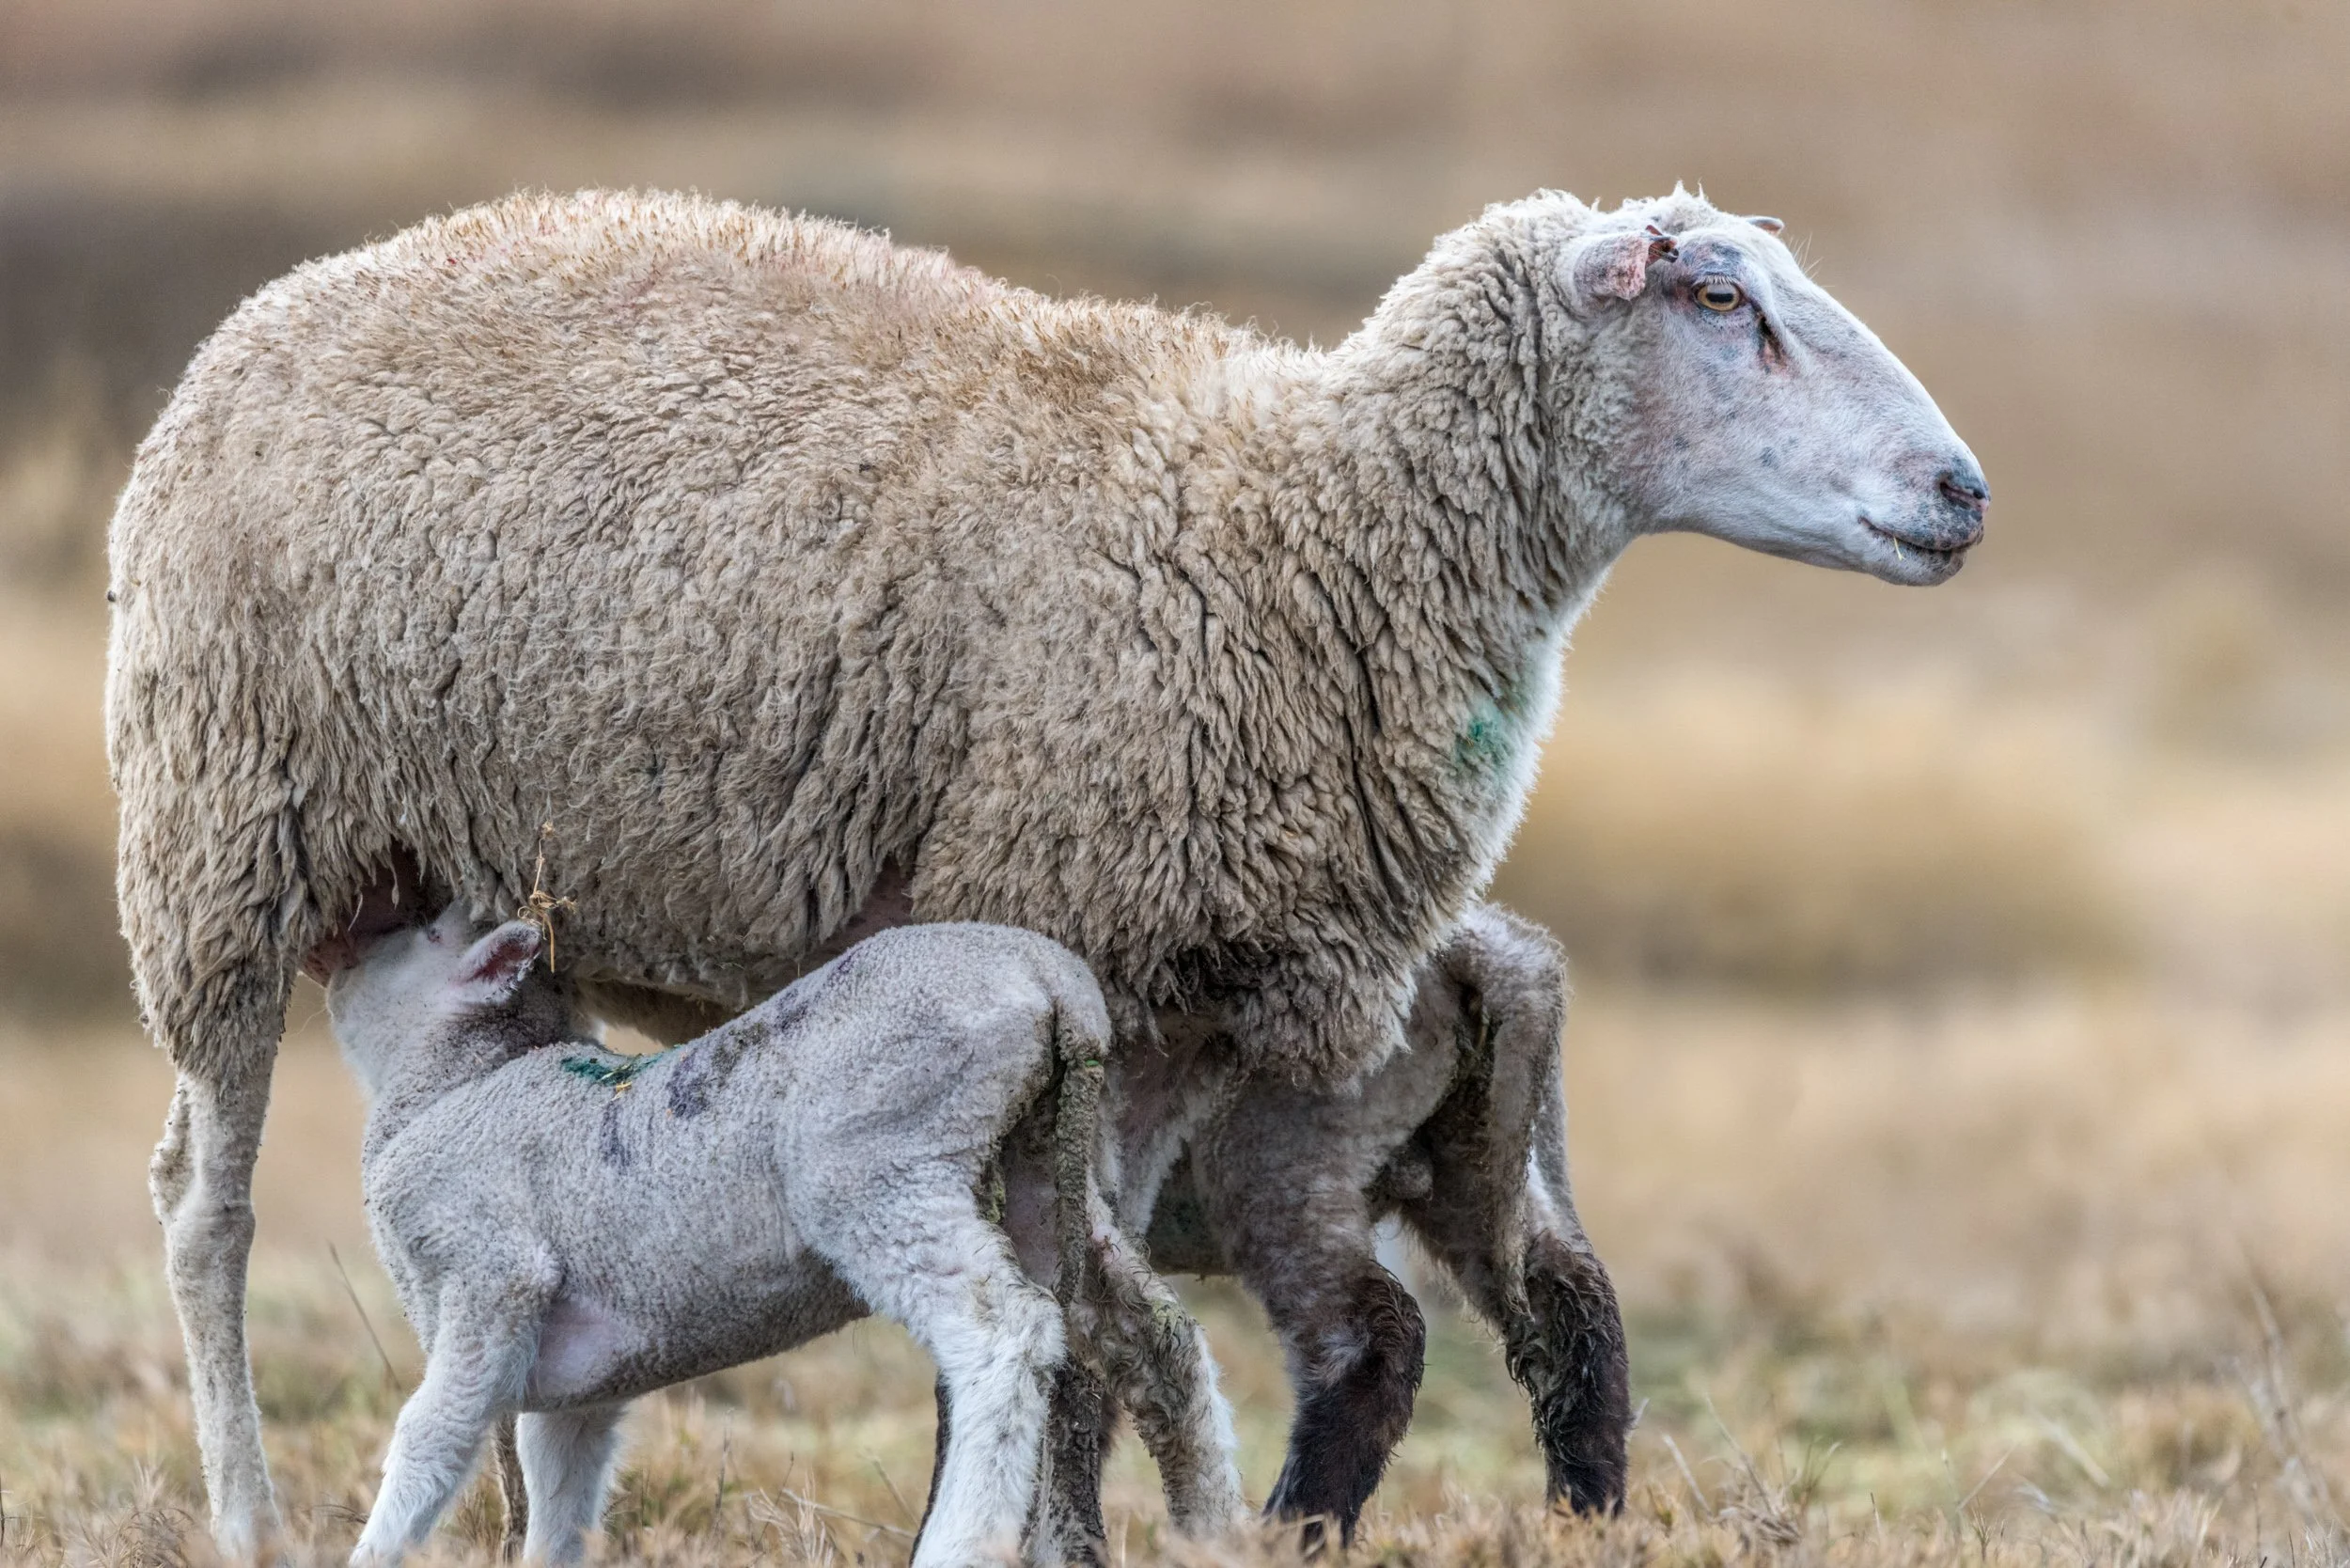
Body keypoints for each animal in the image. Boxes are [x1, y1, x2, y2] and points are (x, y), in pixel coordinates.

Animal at [323, 909, 1243, 1566]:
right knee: (1158, 1342)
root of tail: (1052, 981)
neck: (449, 1086)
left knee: (1003, 1335)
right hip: (1052, 1168)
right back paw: (1217, 1534)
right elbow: (560, 1492)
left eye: (427, 933)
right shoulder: (577, 1381)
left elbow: (431, 1437)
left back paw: (959, 1544)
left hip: (881, 1163)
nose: (346, 937)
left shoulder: (490, 1271)